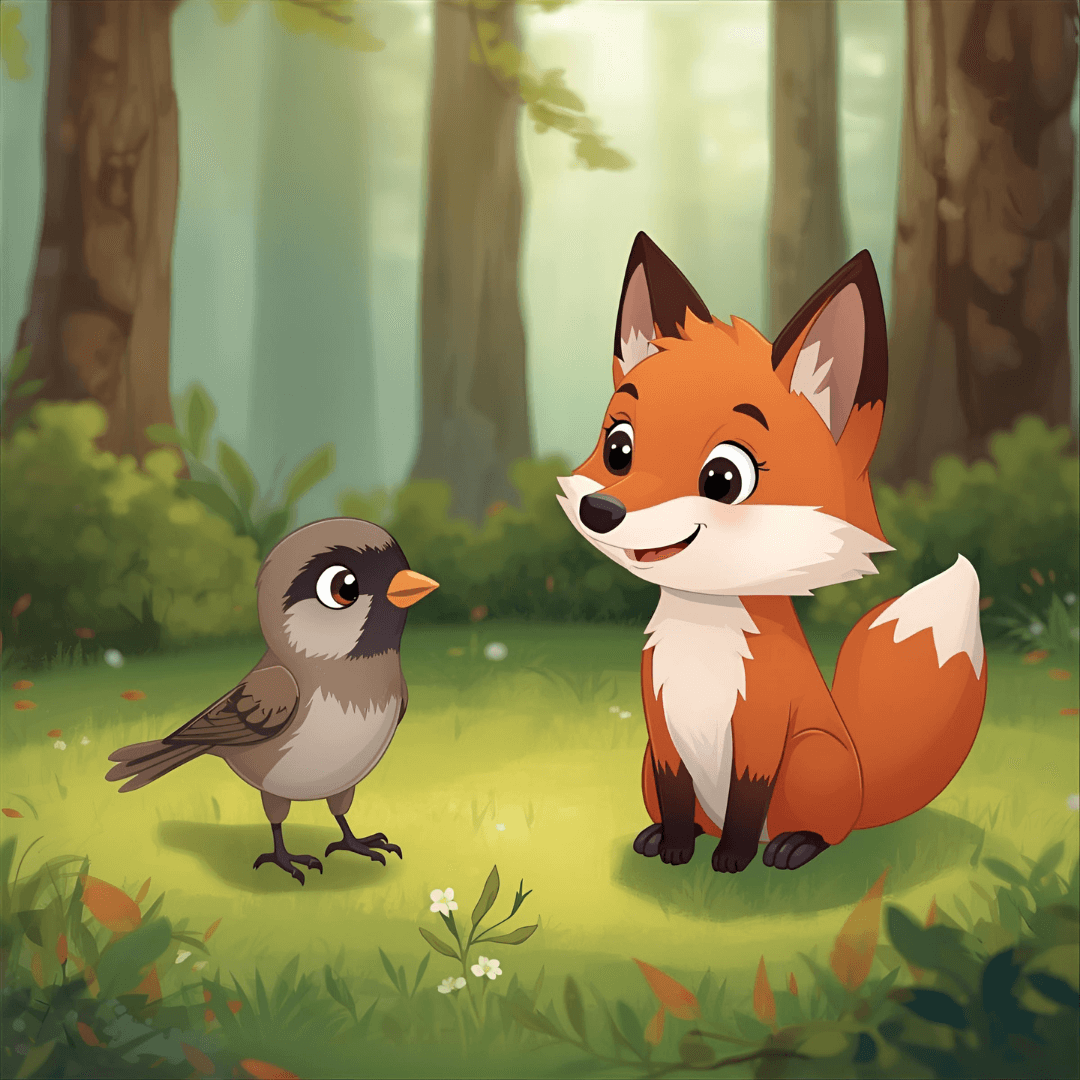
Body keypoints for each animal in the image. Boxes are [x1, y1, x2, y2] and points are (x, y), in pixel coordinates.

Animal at [557, 233, 987, 874]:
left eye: (724, 477)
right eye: (618, 449)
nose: (601, 511)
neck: (702, 640)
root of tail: (863, 784)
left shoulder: (762, 732)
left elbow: (746, 802)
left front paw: (731, 862)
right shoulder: (662, 732)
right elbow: (679, 798)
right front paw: (676, 849)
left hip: (814, 755)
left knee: (819, 830)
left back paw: (791, 846)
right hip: (648, 765)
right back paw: (665, 835)